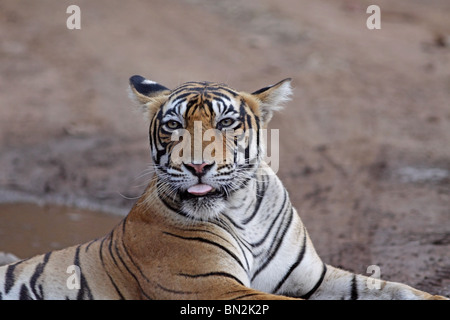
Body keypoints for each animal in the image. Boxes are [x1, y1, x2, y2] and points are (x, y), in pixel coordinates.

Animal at [0, 75, 446, 300]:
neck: (242, 210)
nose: (198, 166)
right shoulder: (211, 286)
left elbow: (392, 288)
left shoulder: (312, 277)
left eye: (226, 123)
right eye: (173, 125)